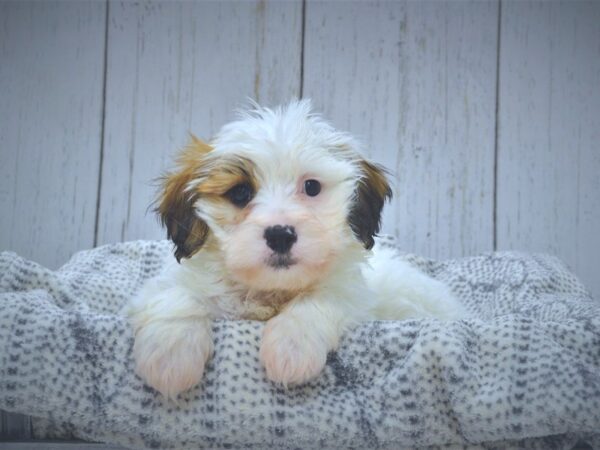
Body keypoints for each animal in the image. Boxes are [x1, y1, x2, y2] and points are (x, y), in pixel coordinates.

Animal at [125, 101, 464, 398]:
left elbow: (320, 299)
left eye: (311, 187)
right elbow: (175, 296)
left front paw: (292, 346)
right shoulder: (170, 284)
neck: (271, 293)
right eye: (240, 193)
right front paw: (170, 357)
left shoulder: (353, 296)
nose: (280, 235)